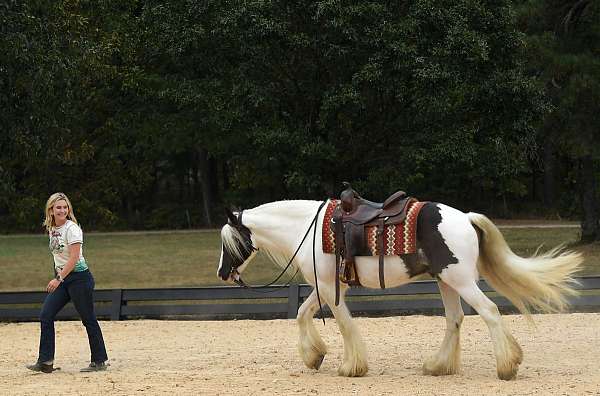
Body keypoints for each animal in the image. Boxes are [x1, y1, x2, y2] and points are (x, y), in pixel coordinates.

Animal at [217, 201, 580, 380]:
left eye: (228, 241)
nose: (222, 273)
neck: (308, 228)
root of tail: (465, 218)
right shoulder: (326, 286)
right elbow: (301, 314)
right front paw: (314, 356)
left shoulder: (330, 288)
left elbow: (344, 325)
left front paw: (351, 367)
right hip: (446, 281)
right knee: (455, 319)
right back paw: (438, 366)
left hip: (461, 280)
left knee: (488, 312)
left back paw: (507, 366)